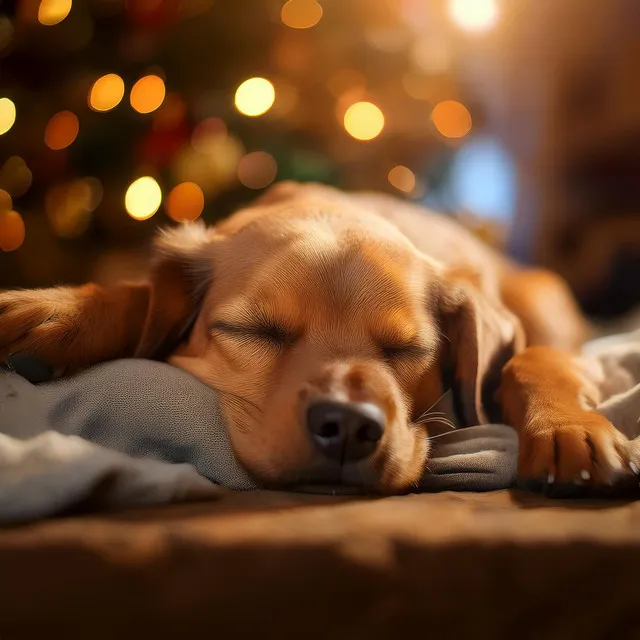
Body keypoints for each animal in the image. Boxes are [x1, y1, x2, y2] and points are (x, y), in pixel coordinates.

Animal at [0, 182, 632, 492]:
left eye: (408, 349)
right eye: (255, 331)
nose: (348, 427)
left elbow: (537, 361)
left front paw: (566, 428)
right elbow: (136, 293)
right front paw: (59, 309)